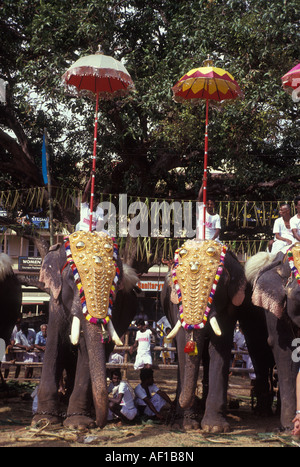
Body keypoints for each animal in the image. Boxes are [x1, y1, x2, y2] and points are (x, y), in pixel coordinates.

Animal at [32, 231, 138, 432]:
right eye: (71, 279)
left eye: (114, 286)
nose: (99, 424)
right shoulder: (56, 301)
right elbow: (54, 343)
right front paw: (44, 420)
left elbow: (87, 352)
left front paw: (78, 424)